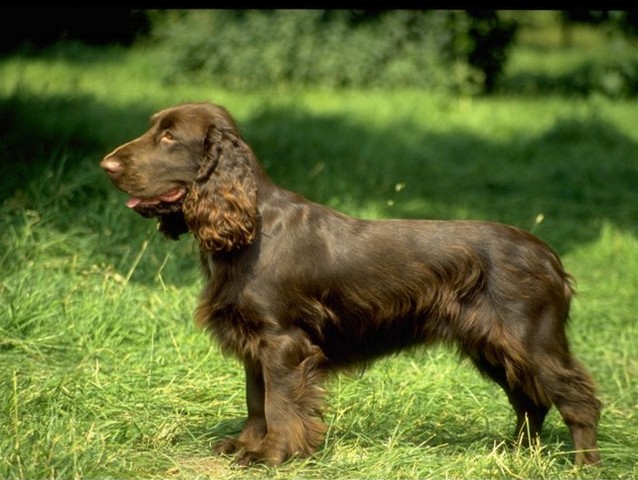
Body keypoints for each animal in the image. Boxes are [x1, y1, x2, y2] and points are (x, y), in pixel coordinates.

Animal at [101, 101, 604, 464]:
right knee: (530, 401)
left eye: (169, 136)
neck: (251, 227)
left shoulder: (283, 342)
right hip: (493, 345)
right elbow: (255, 399)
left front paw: (273, 455)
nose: (106, 165)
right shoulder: (254, 342)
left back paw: (583, 465)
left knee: (577, 399)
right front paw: (246, 446)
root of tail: (551, 258)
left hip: (530, 339)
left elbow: (279, 403)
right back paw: (517, 455)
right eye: (154, 129)